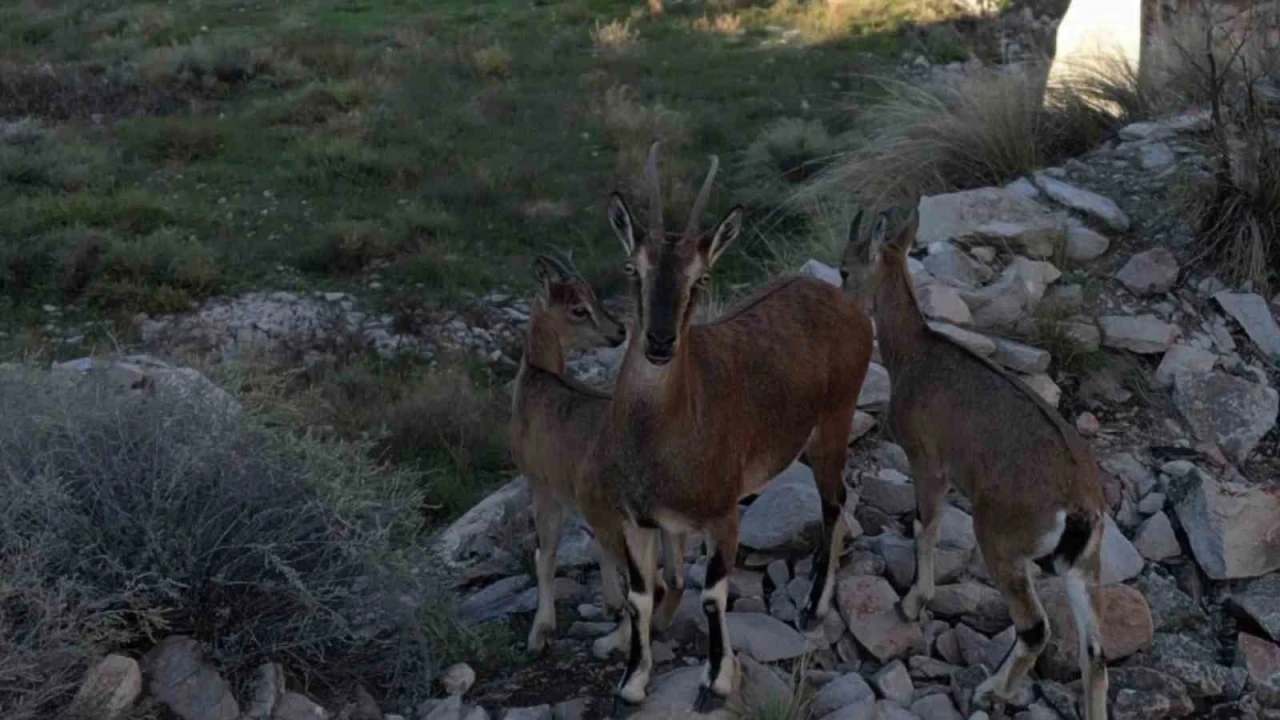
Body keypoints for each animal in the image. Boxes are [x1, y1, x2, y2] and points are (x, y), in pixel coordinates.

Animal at [512, 251, 691, 655]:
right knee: (675, 579)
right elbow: (595, 549)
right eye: (580, 307)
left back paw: (612, 644)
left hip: (620, 517)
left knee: (651, 584)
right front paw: (609, 603)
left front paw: (540, 632)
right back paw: (655, 626)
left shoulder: (543, 486)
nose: (619, 332)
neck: (537, 379)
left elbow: (545, 554)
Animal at [593, 141, 875, 712]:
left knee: (835, 502)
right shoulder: (637, 521)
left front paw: (716, 681)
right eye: (634, 269)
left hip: (834, 422)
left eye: (701, 277)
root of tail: (843, 300)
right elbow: (639, 597)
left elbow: (712, 594)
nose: (659, 342)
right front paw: (632, 683)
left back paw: (814, 605)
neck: (661, 436)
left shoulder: (722, 516)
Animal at [839, 207, 1111, 717]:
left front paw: (913, 603)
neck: (915, 352)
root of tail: (1080, 508)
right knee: (1095, 652)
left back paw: (991, 691)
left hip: (1000, 539)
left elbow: (927, 526)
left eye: (845, 269)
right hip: (1084, 566)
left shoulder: (927, 460)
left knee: (1035, 628)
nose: (842, 303)